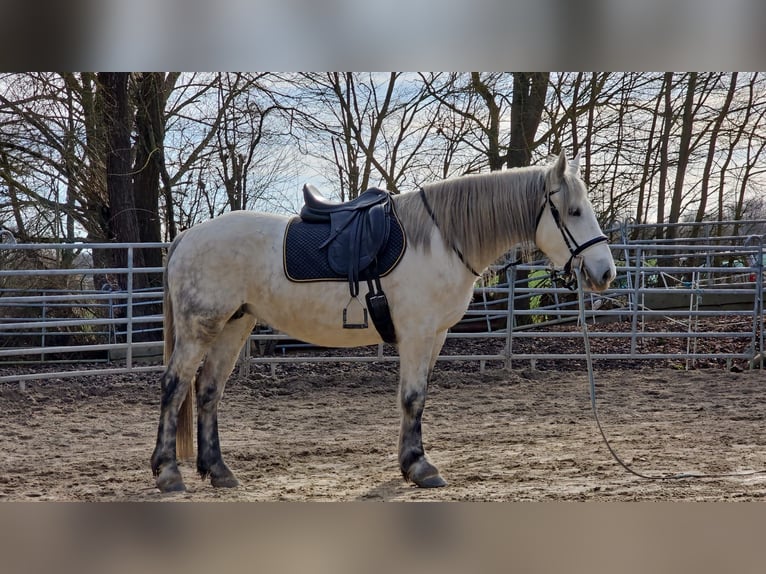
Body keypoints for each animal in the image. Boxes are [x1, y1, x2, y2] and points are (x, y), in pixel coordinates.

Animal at [150, 151, 616, 492]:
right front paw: (420, 467)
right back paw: (169, 473)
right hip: (200, 328)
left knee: (209, 391)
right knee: (175, 386)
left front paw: (411, 463)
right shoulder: (417, 334)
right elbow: (411, 398)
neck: (443, 239)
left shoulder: (436, 337)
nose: (605, 272)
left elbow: (418, 398)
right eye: (574, 211)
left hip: (233, 326)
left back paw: (219, 471)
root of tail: (186, 236)